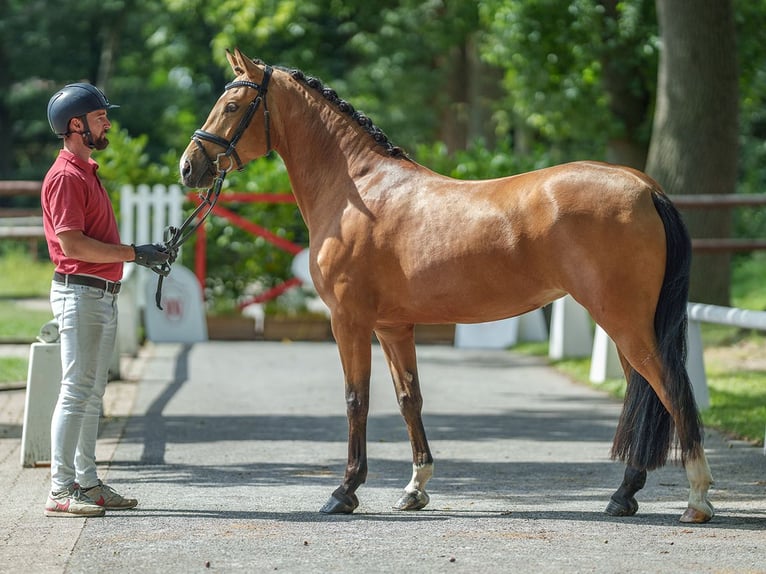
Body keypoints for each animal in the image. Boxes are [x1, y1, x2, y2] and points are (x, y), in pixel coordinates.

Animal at [180, 50, 712, 528]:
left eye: (232, 106)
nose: (189, 167)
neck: (360, 189)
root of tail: (645, 188)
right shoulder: (393, 328)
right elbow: (408, 399)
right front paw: (415, 489)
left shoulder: (348, 322)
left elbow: (356, 400)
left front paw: (345, 491)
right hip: (624, 325)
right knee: (644, 393)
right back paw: (624, 495)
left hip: (625, 323)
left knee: (671, 390)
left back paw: (697, 500)